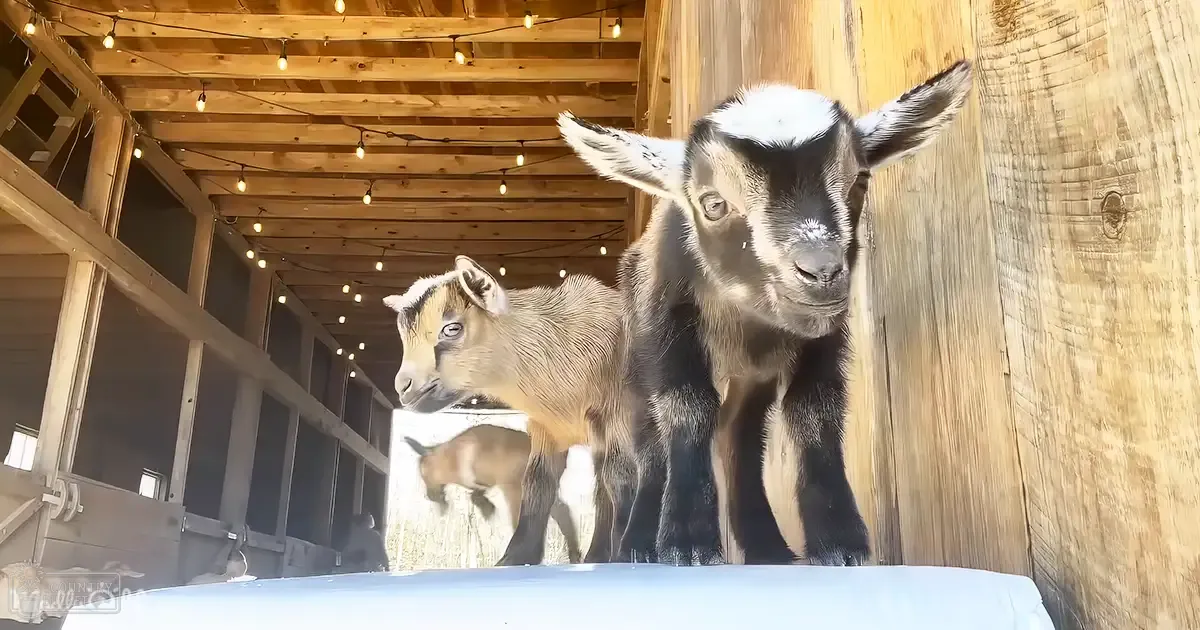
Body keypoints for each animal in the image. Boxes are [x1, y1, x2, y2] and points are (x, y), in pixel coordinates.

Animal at [401, 425, 582, 563]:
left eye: (423, 474)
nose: (428, 496)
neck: (451, 456)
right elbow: (476, 495)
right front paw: (488, 509)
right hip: (546, 491)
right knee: (563, 512)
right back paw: (574, 554)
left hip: (520, 492)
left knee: (524, 522)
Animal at [559, 60, 974, 566]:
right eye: (713, 204)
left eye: (859, 182)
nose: (821, 270)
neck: (752, 320)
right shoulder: (669, 322)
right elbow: (685, 408)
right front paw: (686, 542)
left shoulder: (823, 336)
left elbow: (814, 411)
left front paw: (840, 542)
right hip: (635, 365)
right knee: (651, 438)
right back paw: (637, 544)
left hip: (747, 380)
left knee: (737, 434)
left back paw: (766, 547)